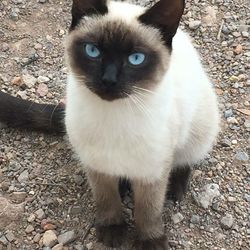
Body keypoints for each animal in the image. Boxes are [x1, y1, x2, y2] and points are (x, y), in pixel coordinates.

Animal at [0, 0, 219, 249]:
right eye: (93, 51)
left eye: (136, 58)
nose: (109, 80)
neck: (114, 117)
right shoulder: (96, 165)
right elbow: (107, 199)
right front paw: (113, 230)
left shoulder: (152, 171)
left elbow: (148, 211)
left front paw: (150, 240)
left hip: (199, 128)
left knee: (185, 160)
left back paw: (175, 187)